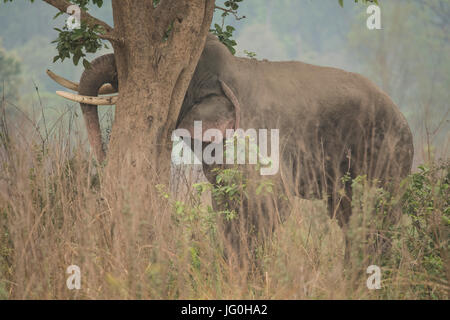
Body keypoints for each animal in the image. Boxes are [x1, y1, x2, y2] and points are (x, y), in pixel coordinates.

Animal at [47, 33, 414, 262]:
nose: (103, 159)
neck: (230, 70)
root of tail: (403, 116)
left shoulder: (257, 134)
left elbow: (269, 200)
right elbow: (225, 205)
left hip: (389, 153)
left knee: (377, 211)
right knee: (350, 216)